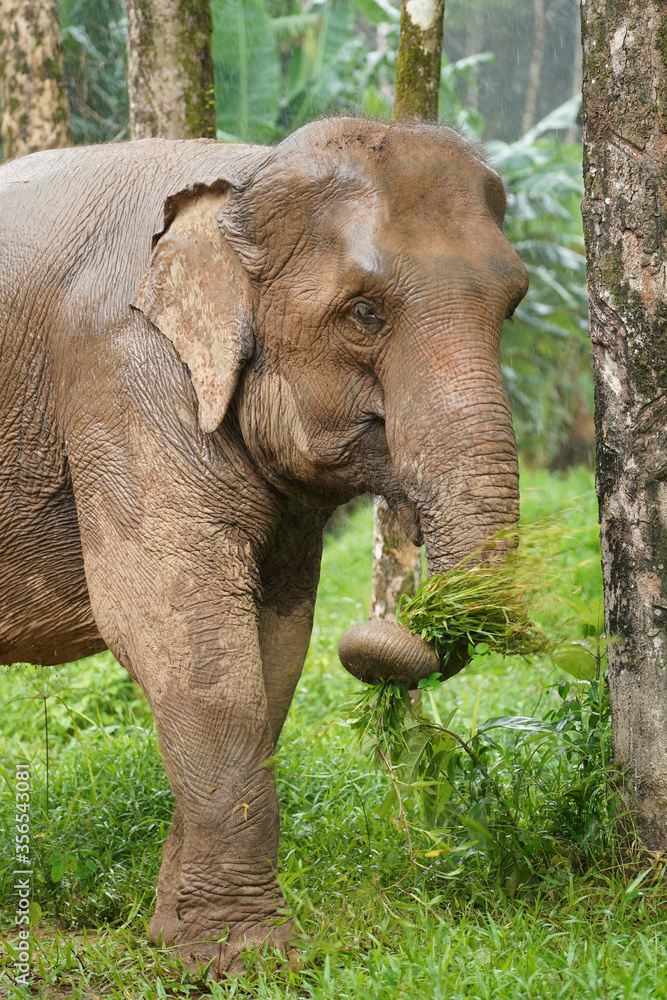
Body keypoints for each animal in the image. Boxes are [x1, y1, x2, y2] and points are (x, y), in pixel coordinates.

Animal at [0, 113, 528, 972]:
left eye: (512, 307)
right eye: (363, 314)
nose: (401, 626)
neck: (246, 173)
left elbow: (274, 644)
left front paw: (186, 946)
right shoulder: (124, 371)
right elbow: (174, 625)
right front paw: (252, 955)